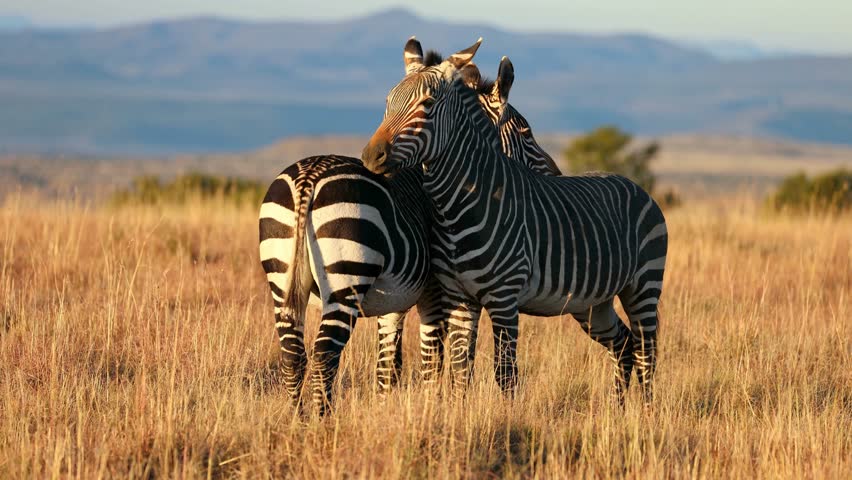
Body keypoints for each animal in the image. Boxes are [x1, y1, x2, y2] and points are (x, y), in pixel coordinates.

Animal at [258, 38, 563, 413]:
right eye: (526, 132)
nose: (557, 175)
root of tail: (309, 179)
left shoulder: (393, 302)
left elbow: (388, 368)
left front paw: (386, 409)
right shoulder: (435, 295)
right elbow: (437, 361)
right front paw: (436, 409)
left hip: (282, 282)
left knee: (292, 356)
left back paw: (296, 418)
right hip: (345, 281)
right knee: (324, 356)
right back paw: (320, 420)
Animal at [361, 39, 668, 405]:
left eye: (428, 104)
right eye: (387, 103)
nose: (371, 156)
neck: (454, 210)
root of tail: (633, 184)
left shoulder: (504, 299)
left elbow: (505, 374)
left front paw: (506, 417)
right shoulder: (458, 298)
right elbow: (460, 371)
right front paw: (457, 415)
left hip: (643, 285)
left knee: (647, 352)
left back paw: (645, 413)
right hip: (594, 303)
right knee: (624, 344)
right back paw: (618, 409)